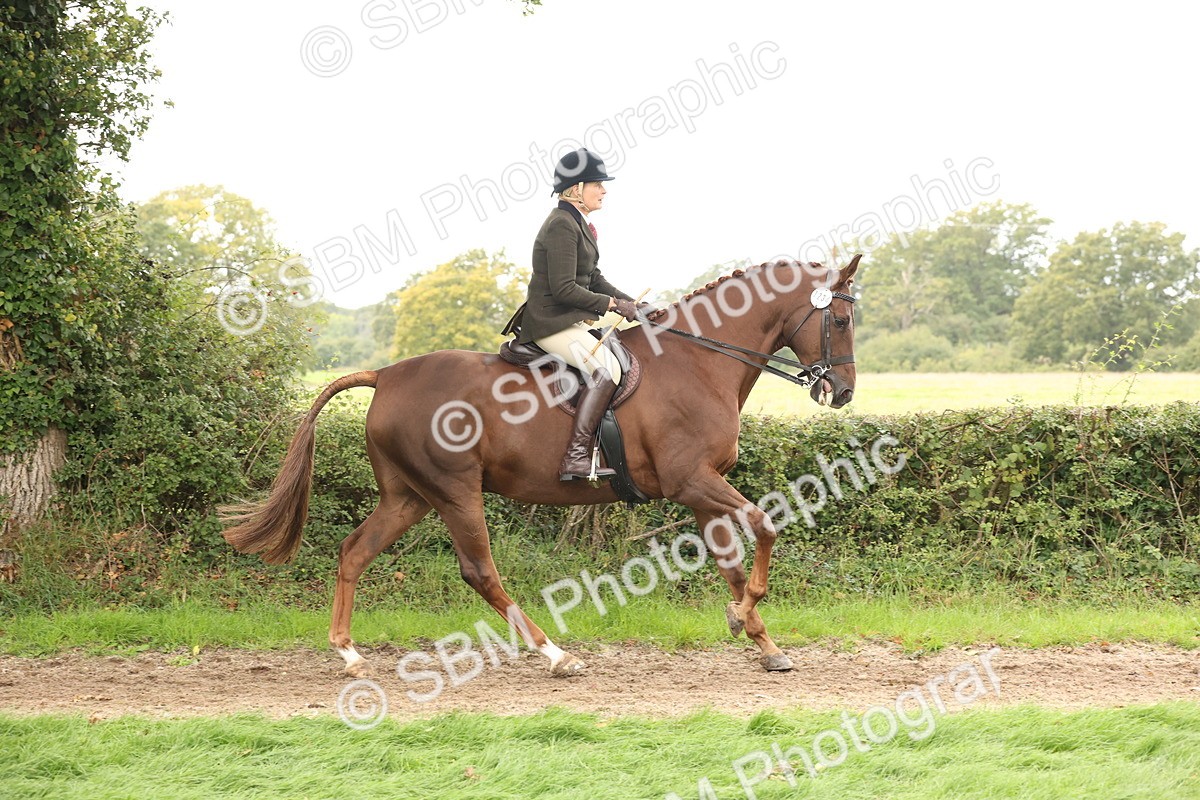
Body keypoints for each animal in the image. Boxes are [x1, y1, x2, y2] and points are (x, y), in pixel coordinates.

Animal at [221, 255, 860, 677]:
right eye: (841, 321)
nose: (844, 392)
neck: (699, 362)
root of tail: (386, 375)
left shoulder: (700, 489)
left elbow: (729, 558)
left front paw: (758, 637)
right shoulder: (693, 481)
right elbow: (764, 526)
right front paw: (745, 614)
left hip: (409, 496)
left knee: (355, 551)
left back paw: (350, 653)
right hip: (454, 492)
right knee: (480, 572)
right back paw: (555, 653)